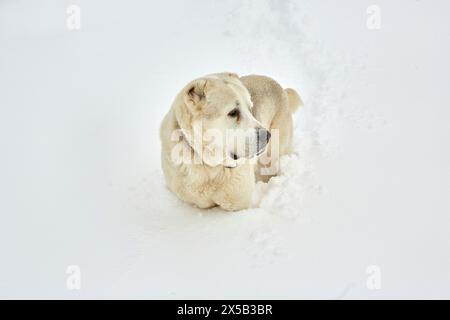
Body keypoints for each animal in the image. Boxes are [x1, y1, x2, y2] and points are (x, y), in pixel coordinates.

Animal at [159, 72, 302, 210]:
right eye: (233, 112)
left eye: (250, 109)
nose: (267, 135)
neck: (209, 167)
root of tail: (280, 87)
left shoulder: (237, 204)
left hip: (272, 156)